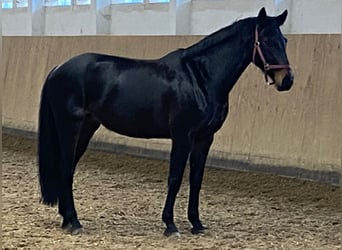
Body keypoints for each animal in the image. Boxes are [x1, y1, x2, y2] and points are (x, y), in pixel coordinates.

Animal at [38, 7, 294, 236]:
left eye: (284, 40)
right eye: (266, 40)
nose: (287, 80)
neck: (199, 77)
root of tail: (58, 69)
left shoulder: (204, 139)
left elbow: (196, 179)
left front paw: (196, 224)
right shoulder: (182, 137)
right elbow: (175, 179)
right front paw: (170, 225)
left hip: (86, 128)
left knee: (67, 168)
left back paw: (67, 220)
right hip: (70, 129)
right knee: (66, 168)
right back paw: (74, 222)